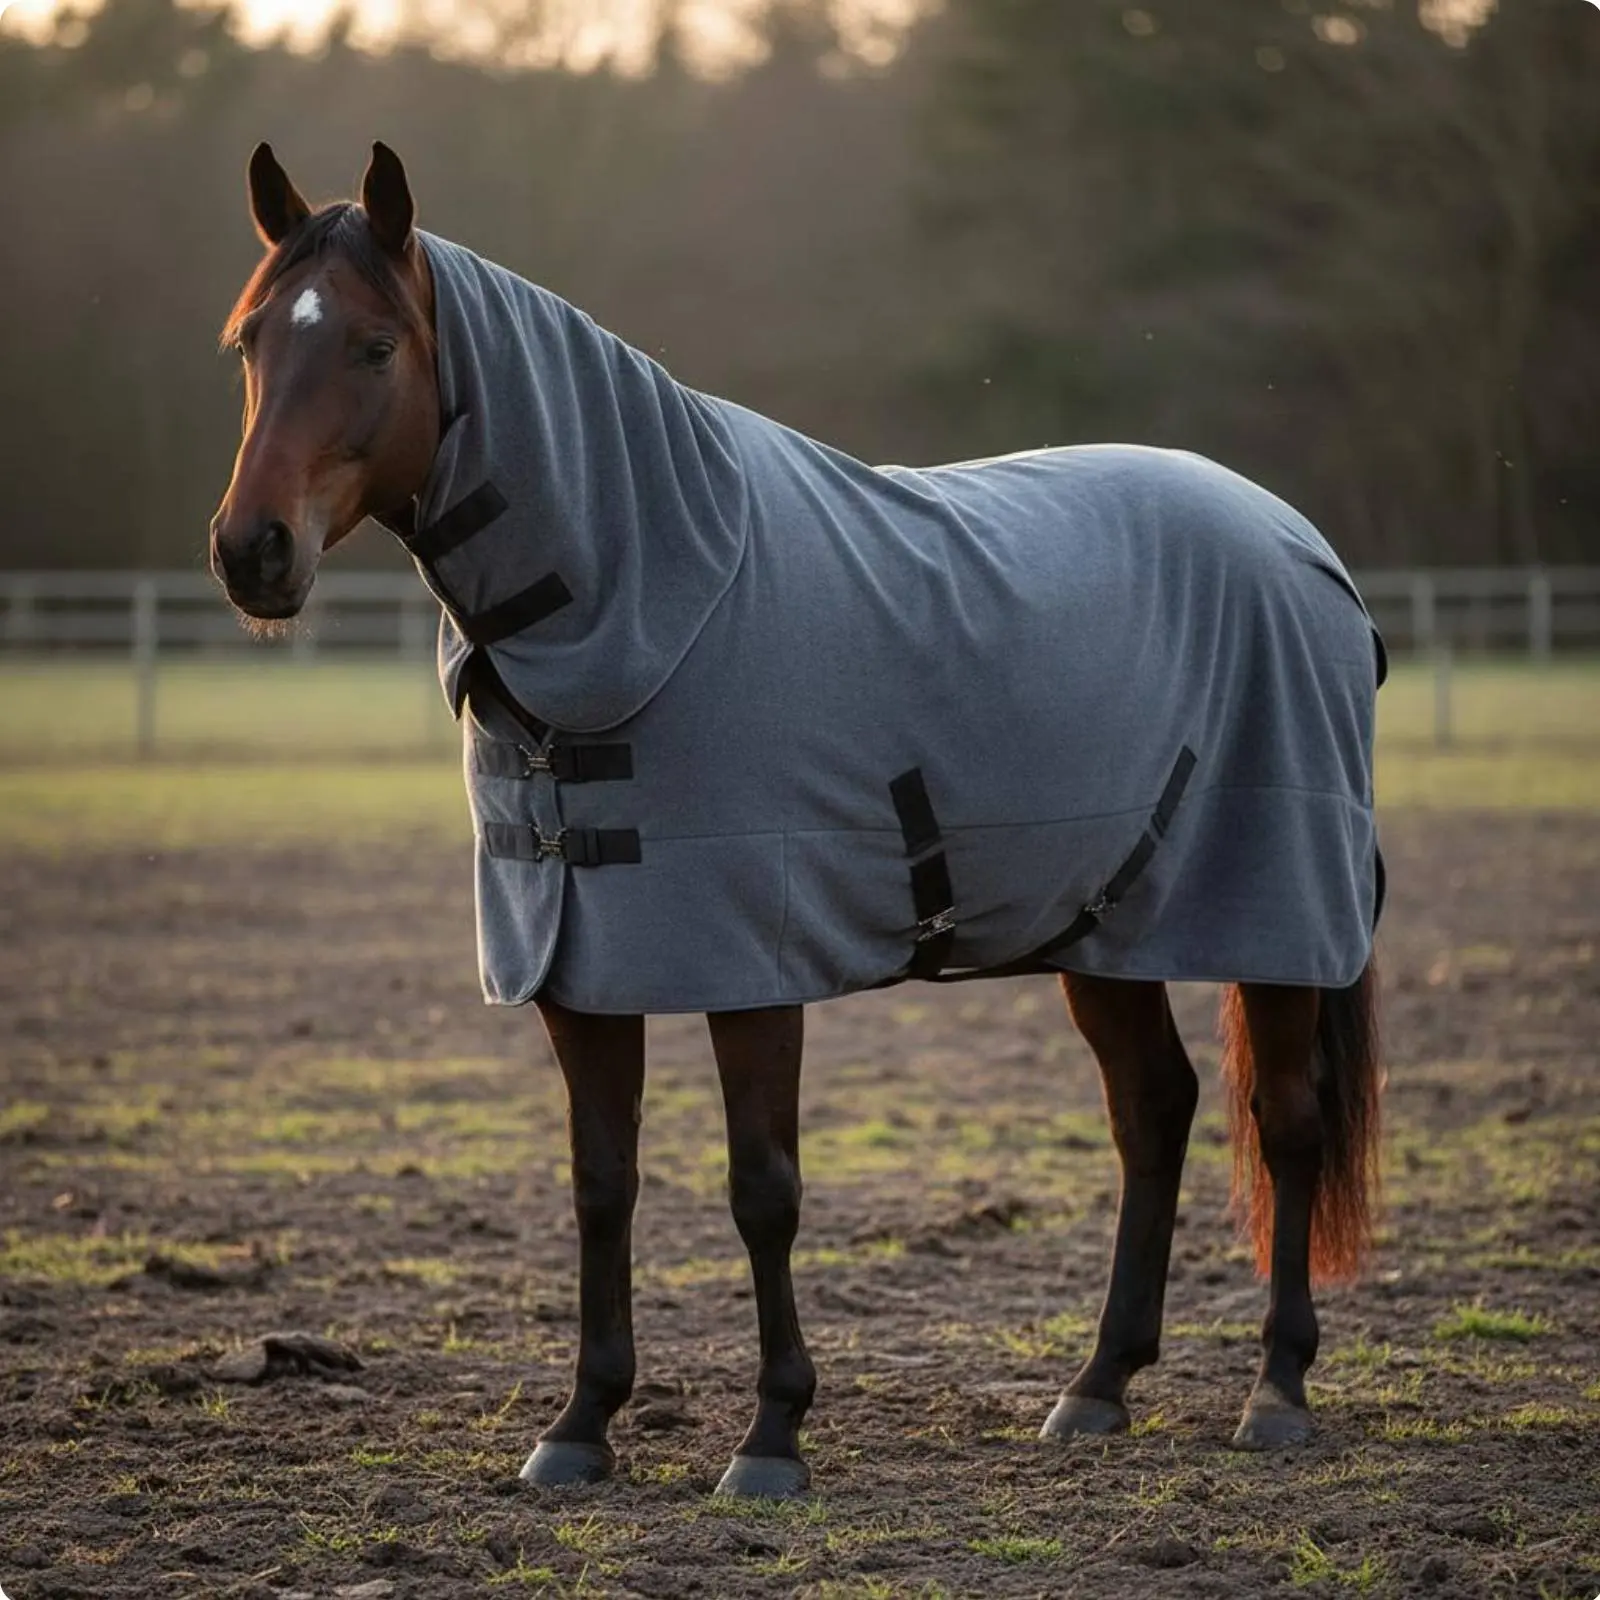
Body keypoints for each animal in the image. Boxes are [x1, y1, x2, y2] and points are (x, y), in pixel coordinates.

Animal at [210, 141, 1385, 1499]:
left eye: (373, 345)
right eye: (249, 340)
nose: (252, 551)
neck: (646, 592)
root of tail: (1301, 544)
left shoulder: (754, 967)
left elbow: (761, 1189)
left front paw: (771, 1436)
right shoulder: (577, 968)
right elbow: (601, 1185)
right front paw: (581, 1423)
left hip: (1278, 917)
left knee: (1285, 1125)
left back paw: (1276, 1389)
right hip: (1104, 927)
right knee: (1154, 1113)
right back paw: (1096, 1386)